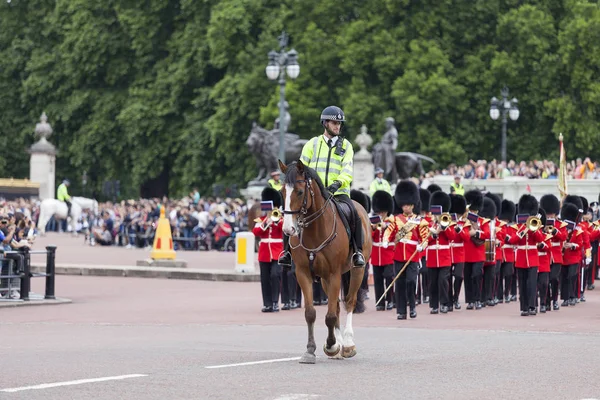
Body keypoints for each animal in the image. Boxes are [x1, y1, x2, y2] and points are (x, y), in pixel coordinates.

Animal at [278, 159, 372, 362]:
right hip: (323, 279)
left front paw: (331, 345)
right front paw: (313, 349)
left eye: (299, 191)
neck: (315, 230)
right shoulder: (304, 274)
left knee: (350, 301)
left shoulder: (334, 274)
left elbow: (330, 315)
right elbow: (311, 313)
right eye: (282, 192)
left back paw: (348, 343)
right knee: (335, 307)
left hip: (357, 270)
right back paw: (339, 344)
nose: (289, 229)